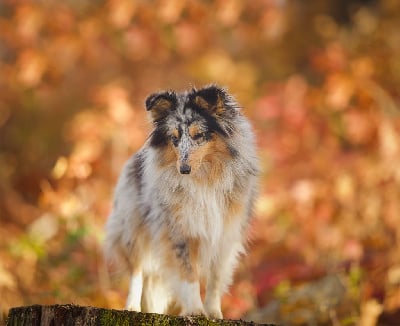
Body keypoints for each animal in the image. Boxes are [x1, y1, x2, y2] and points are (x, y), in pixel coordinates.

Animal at [103, 84, 260, 318]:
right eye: (174, 138)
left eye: (199, 135)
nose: (183, 169)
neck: (204, 178)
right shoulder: (179, 232)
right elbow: (188, 275)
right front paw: (195, 311)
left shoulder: (226, 233)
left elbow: (215, 278)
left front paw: (213, 313)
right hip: (132, 227)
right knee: (137, 270)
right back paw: (132, 307)